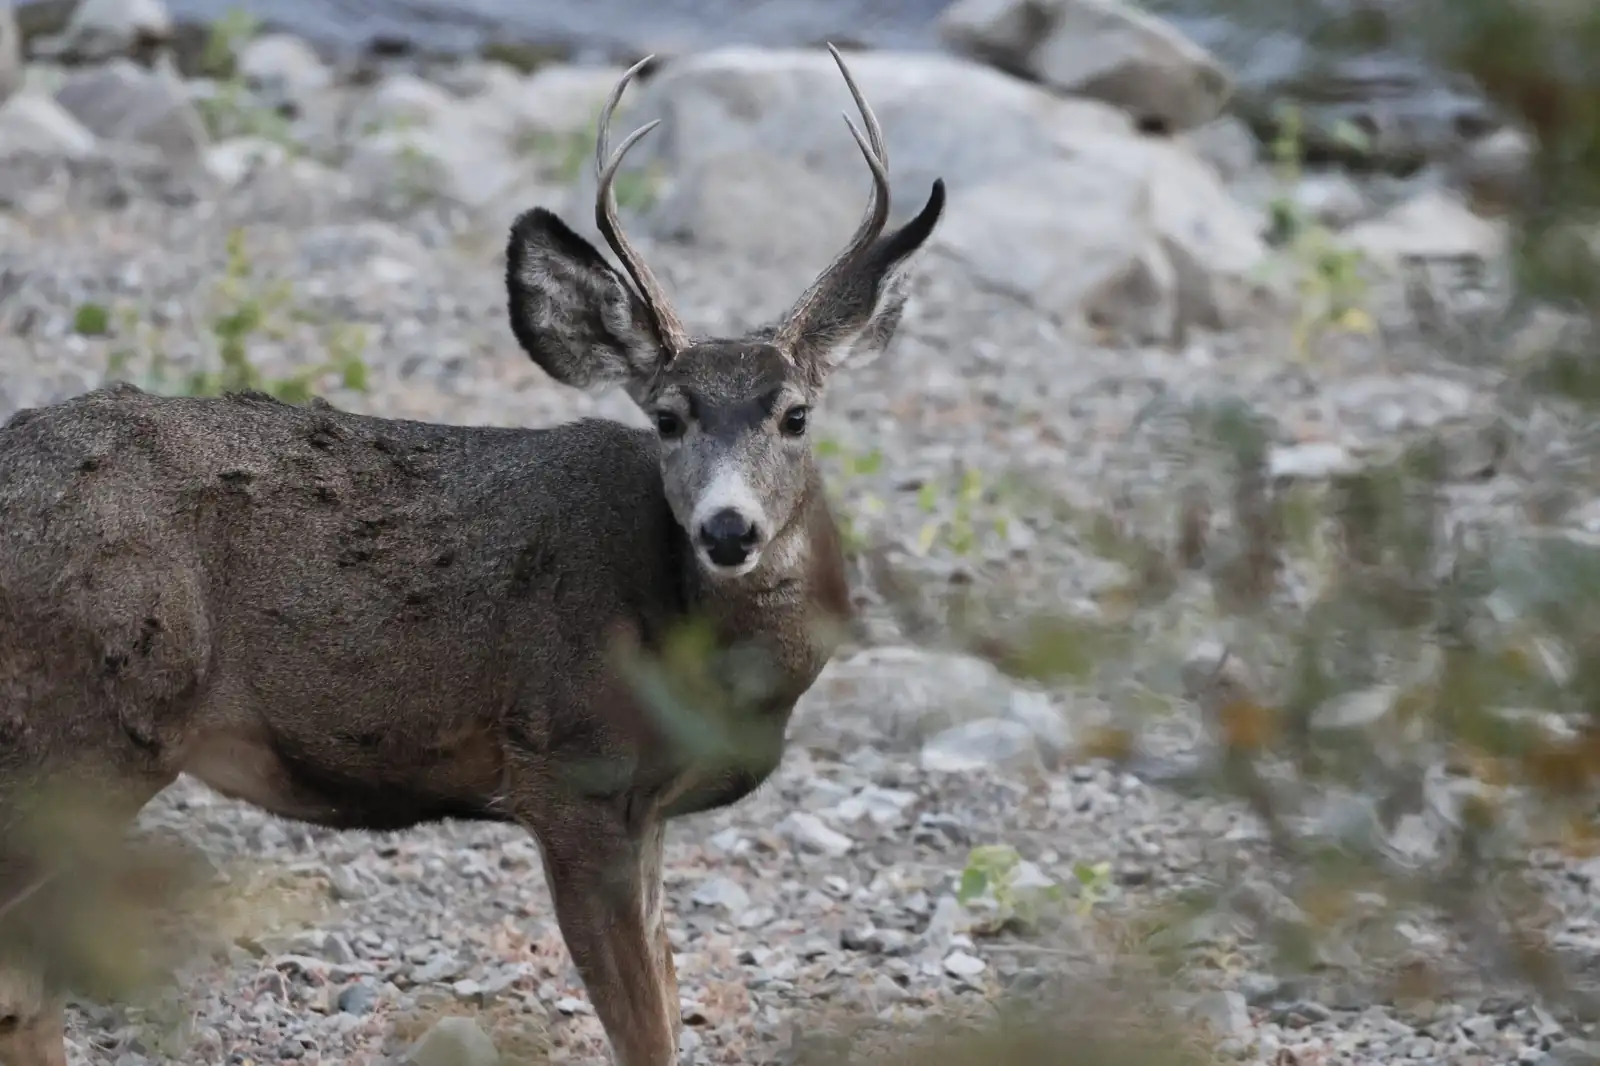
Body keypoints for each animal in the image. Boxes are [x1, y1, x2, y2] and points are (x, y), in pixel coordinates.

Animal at [0, 44, 945, 1066]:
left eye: (796, 415)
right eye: (667, 417)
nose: (728, 530)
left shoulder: (643, 808)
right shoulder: (568, 772)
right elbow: (644, 1027)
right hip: (89, 723)